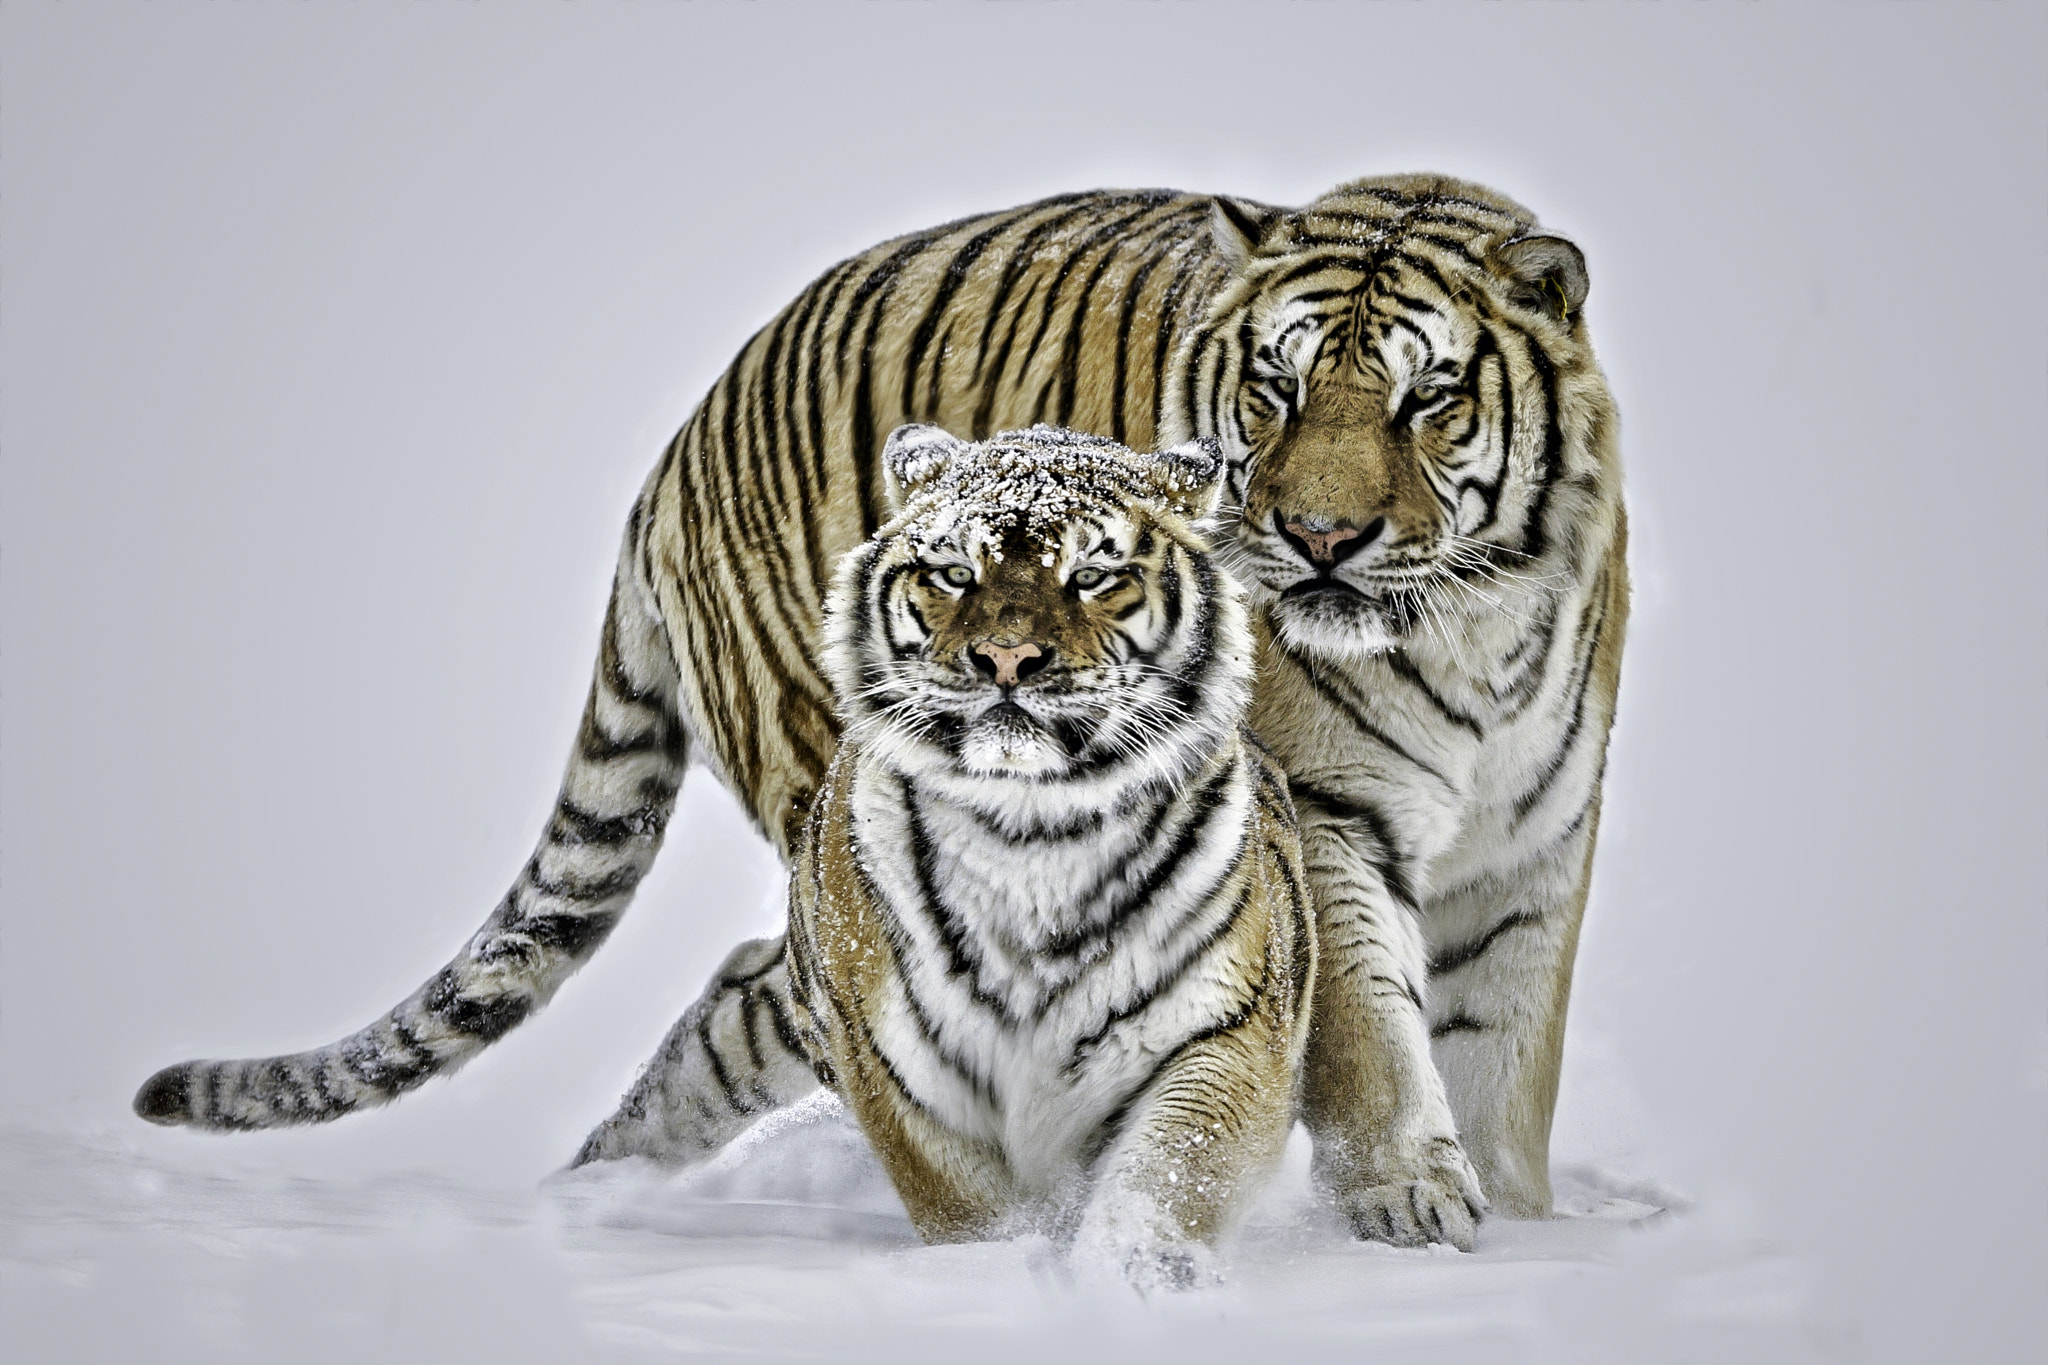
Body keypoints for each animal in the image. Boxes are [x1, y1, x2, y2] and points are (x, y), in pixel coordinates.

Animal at [770, 427, 1310, 1293]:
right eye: (956, 572)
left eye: (1089, 576)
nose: (1006, 657)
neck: (1031, 827)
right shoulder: (899, 1068)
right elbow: (965, 1207)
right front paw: (1001, 1271)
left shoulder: (1224, 1026)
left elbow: (1173, 1172)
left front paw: (1137, 1278)